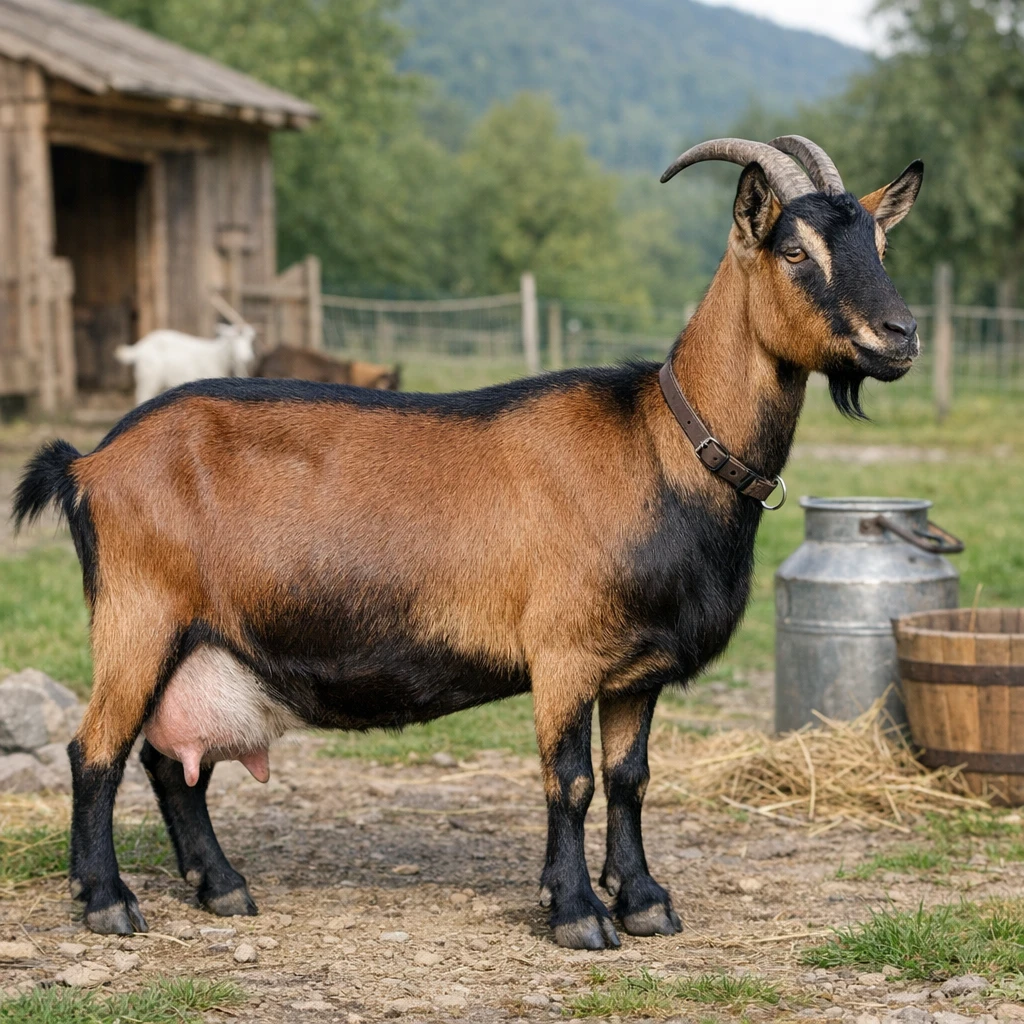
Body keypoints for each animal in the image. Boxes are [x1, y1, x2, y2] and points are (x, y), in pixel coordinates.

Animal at [115, 324, 256, 406]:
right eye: (233, 339)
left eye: (249, 340)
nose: (246, 357)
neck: (218, 357)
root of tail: (139, 348)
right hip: (149, 377)